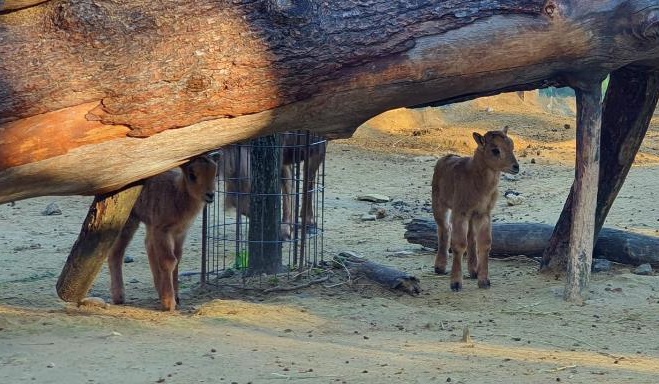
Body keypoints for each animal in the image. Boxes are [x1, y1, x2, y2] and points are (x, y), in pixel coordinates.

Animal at [109, 156, 218, 312]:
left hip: (148, 224)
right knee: (116, 252)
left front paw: (176, 297)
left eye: (215, 173)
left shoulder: (180, 233)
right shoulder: (162, 229)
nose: (210, 195)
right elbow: (169, 260)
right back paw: (119, 296)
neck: (177, 195)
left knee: (147, 245)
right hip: (129, 219)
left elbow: (177, 259)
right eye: (192, 175)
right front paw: (169, 303)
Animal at [434, 126, 520, 292]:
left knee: (471, 237)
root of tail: (443, 159)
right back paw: (440, 267)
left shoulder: (484, 212)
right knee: (444, 228)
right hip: (439, 203)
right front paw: (455, 283)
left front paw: (484, 281)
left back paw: (473, 271)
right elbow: (459, 244)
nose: (516, 167)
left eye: (512, 145)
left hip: (471, 215)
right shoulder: (460, 211)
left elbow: (484, 243)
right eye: (495, 150)